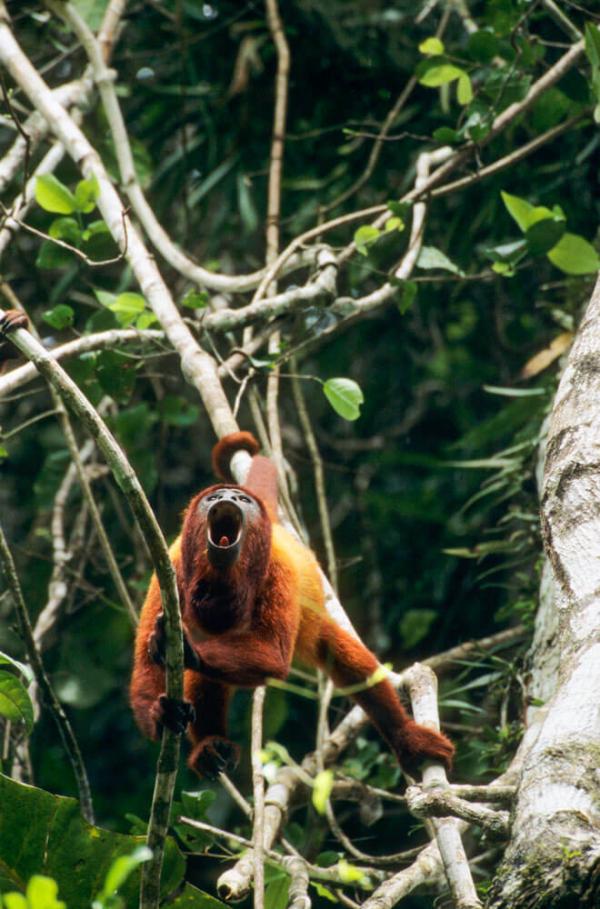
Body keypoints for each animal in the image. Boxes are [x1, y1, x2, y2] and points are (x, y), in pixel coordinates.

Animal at [130, 432, 455, 780]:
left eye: (242, 501)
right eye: (213, 497)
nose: (228, 496)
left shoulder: (278, 569)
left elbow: (272, 653)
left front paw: (188, 651)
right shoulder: (170, 567)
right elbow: (145, 665)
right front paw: (160, 713)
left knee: (348, 659)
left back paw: (407, 740)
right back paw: (210, 744)